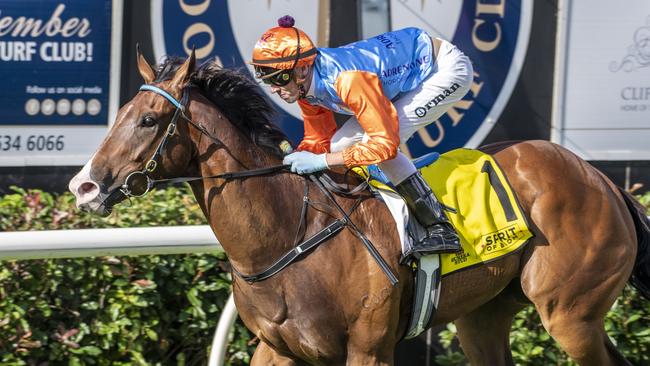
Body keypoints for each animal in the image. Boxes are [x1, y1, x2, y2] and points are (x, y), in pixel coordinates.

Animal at [68, 52, 644, 366]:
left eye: (148, 120)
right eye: (119, 113)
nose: (84, 187)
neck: (287, 236)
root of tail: (601, 179)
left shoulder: (369, 349)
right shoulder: (277, 347)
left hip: (570, 313)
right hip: (484, 317)